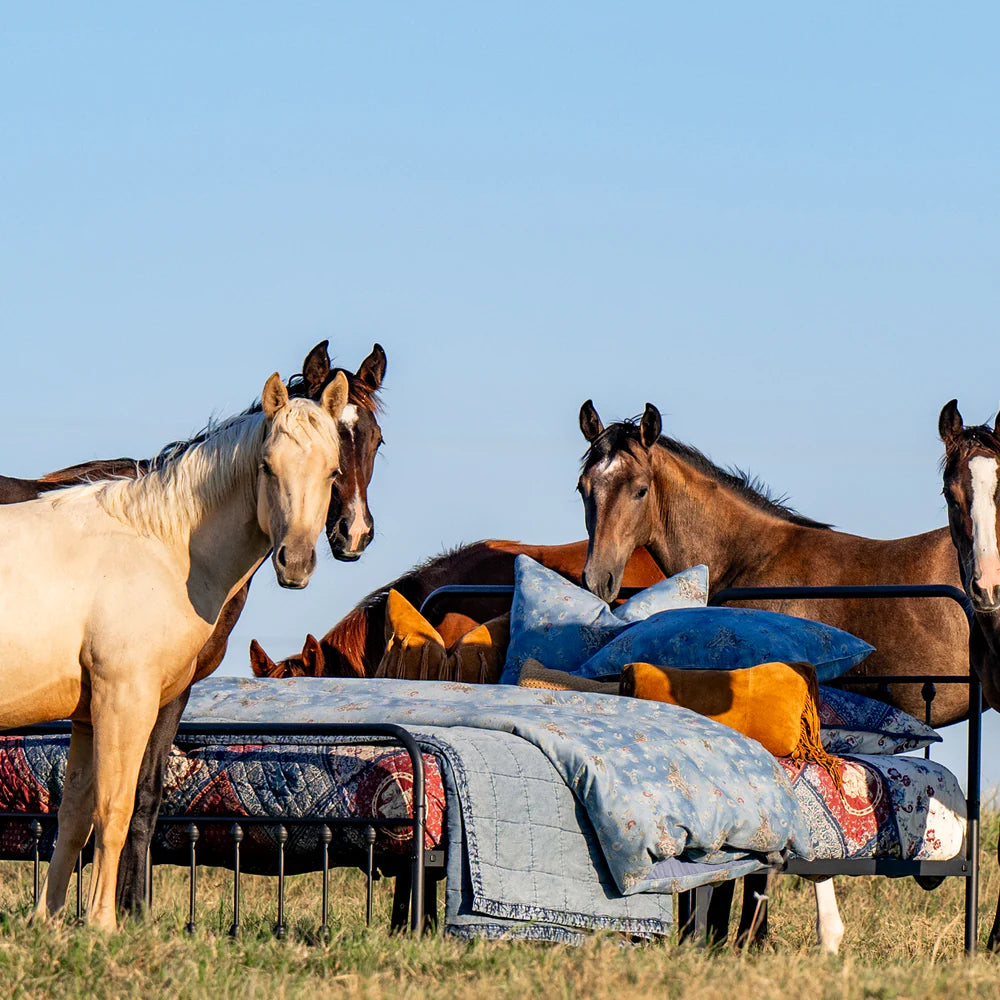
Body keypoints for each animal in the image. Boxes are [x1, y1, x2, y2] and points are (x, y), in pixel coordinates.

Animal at [0, 342, 386, 916]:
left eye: (335, 466)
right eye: (267, 466)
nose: (298, 561)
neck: (159, 545)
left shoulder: (94, 712)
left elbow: (76, 817)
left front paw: (52, 921)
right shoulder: (126, 698)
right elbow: (117, 809)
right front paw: (108, 920)